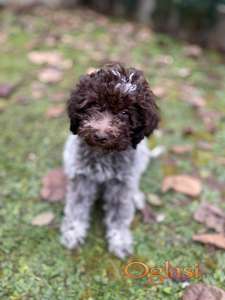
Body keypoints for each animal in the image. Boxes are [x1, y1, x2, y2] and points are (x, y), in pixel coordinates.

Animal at [60, 62, 162, 258]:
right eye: (95, 105)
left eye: (124, 113)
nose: (100, 135)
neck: (104, 153)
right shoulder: (83, 178)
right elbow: (77, 206)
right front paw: (73, 232)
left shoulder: (121, 185)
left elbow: (119, 214)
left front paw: (120, 240)